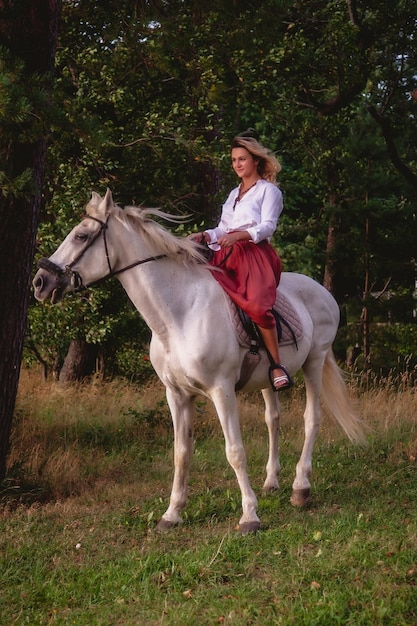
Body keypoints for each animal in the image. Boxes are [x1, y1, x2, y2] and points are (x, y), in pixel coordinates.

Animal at [33, 186, 364, 532]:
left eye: (81, 236)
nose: (40, 282)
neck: (178, 315)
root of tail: (322, 291)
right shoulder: (177, 394)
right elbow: (182, 452)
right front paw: (172, 514)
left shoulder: (221, 391)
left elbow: (235, 451)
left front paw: (249, 516)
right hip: (269, 380)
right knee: (273, 419)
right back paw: (272, 482)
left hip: (315, 362)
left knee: (311, 419)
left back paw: (301, 488)